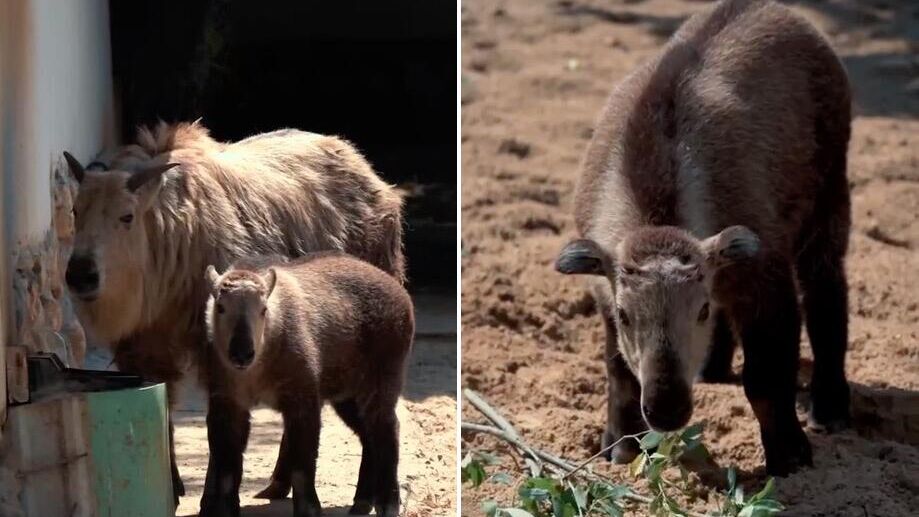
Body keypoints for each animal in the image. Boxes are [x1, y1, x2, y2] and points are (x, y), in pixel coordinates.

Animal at [63, 120, 404, 500]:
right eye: (75, 211)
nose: (80, 275)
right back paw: (279, 483)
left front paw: (211, 495)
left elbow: (220, 430)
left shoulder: (219, 349)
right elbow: (164, 415)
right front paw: (173, 485)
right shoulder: (142, 352)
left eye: (127, 216)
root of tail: (364, 167)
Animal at [203, 253, 416, 516]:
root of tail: (399, 291)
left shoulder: (302, 402)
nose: (242, 354)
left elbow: (302, 465)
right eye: (220, 307)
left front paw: (309, 509)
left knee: (386, 430)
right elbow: (226, 469)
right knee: (369, 436)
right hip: (346, 396)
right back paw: (362, 500)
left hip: (380, 382)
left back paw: (388, 502)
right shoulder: (227, 404)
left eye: (263, 309)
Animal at [552, 0, 848, 476]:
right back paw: (713, 366)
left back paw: (830, 405)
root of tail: (779, 10)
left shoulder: (767, 282)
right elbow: (618, 371)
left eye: (701, 309)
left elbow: (765, 381)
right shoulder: (604, 294)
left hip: (828, 195)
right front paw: (620, 443)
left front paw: (789, 454)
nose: (667, 409)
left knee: (827, 290)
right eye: (626, 314)